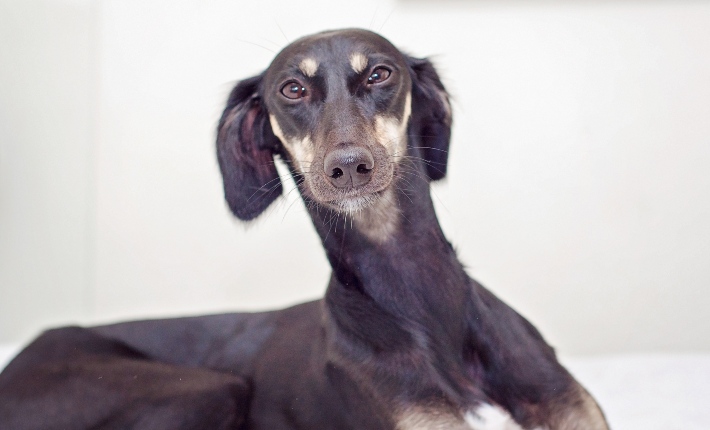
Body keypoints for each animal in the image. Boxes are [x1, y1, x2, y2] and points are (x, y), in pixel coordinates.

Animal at [0, 28, 612, 428]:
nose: (349, 167)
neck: (418, 292)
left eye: (381, 73)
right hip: (206, 389)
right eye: (292, 89)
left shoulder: (570, 409)